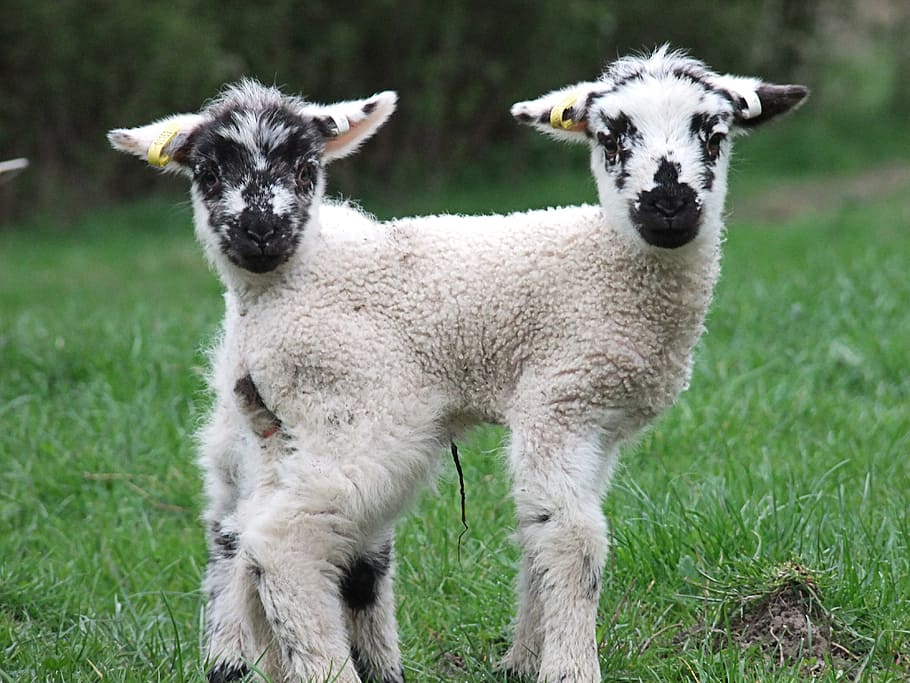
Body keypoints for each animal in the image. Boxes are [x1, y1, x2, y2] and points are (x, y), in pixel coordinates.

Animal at [108, 48, 807, 683]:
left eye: (714, 135)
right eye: (611, 137)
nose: (670, 206)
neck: (606, 264)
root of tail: (268, 291)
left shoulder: (599, 424)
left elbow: (537, 532)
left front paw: (523, 661)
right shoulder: (560, 400)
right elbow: (575, 539)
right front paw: (570, 668)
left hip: (271, 425)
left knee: (243, 535)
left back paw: (244, 661)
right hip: (364, 414)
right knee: (283, 540)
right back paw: (327, 668)